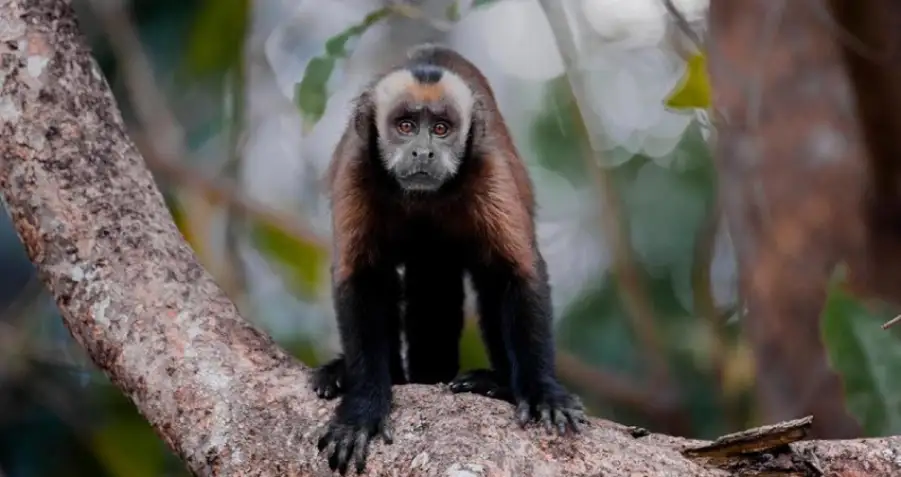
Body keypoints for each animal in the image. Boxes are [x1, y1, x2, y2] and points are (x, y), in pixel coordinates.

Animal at [314, 42, 584, 474]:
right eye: (406, 125)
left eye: (441, 129)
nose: (423, 151)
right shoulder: (357, 167)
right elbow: (361, 279)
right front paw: (363, 407)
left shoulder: (488, 169)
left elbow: (517, 274)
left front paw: (544, 392)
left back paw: (498, 385)